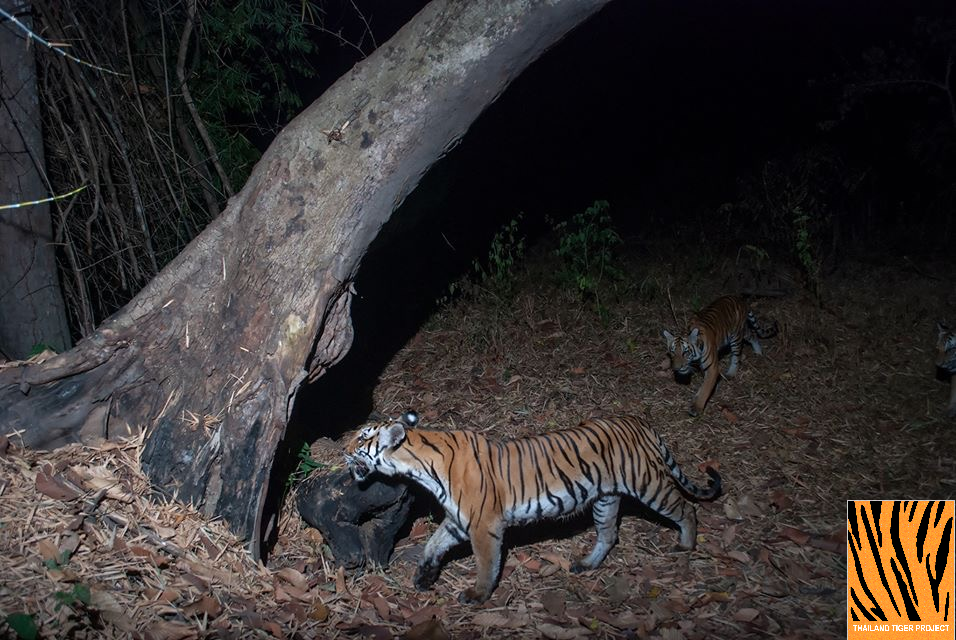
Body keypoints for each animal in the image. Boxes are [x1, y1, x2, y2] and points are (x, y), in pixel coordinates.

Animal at [340, 412, 720, 604]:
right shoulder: (457, 522)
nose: (342, 449)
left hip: (647, 483)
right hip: (605, 498)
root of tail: (640, 422)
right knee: (609, 534)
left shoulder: (483, 525)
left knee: (686, 508)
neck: (419, 465)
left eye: (362, 437)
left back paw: (686, 544)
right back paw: (585, 565)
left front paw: (477, 595)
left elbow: (486, 564)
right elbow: (433, 545)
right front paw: (424, 576)